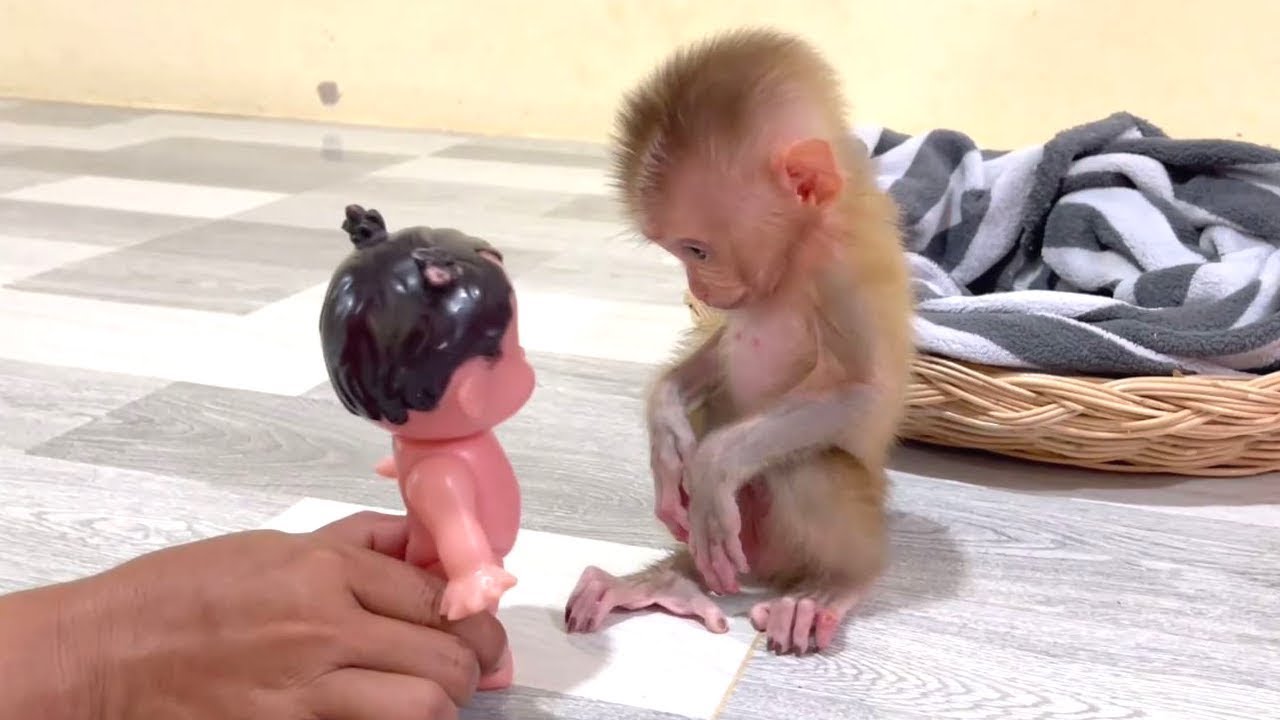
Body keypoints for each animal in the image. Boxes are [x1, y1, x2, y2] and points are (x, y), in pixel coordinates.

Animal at [562, 27, 914, 655]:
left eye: (697, 250)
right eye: (677, 253)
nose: (696, 286)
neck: (800, 246)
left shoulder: (841, 262)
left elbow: (863, 389)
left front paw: (714, 464)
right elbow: (718, 346)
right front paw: (665, 426)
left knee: (804, 467)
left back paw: (833, 586)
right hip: (738, 548)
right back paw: (670, 581)